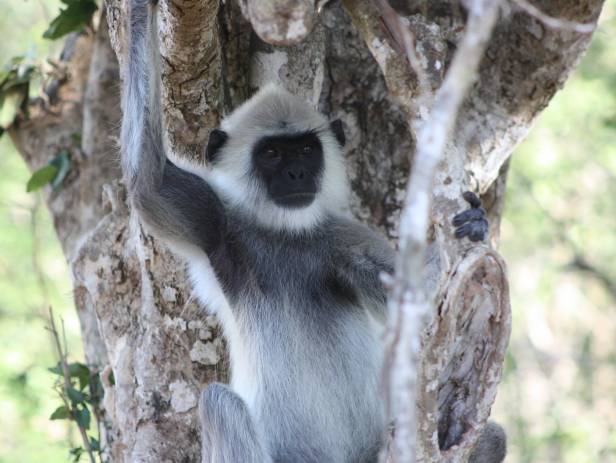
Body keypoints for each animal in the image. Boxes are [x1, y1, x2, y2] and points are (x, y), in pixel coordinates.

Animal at [121, 0, 506, 463]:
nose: (297, 174)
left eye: (306, 150)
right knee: (219, 403)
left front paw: (476, 223)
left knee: (492, 437)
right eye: (271, 153)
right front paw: (138, 10)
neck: (285, 233)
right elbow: (149, 183)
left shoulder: (342, 237)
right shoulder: (216, 222)